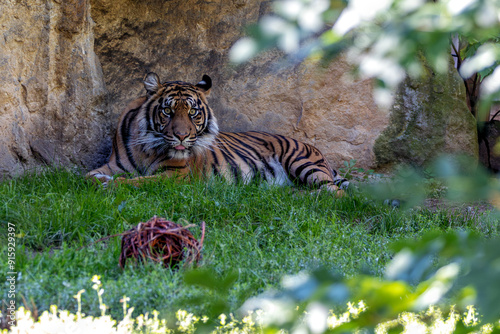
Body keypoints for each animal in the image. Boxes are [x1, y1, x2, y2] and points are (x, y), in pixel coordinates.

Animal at [86, 72, 350, 194]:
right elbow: (88, 177)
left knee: (335, 193)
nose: (181, 136)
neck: (146, 147)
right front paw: (102, 181)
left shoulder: (176, 175)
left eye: (192, 112)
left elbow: (140, 182)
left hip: (302, 161)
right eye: (167, 111)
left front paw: (112, 186)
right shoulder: (111, 165)